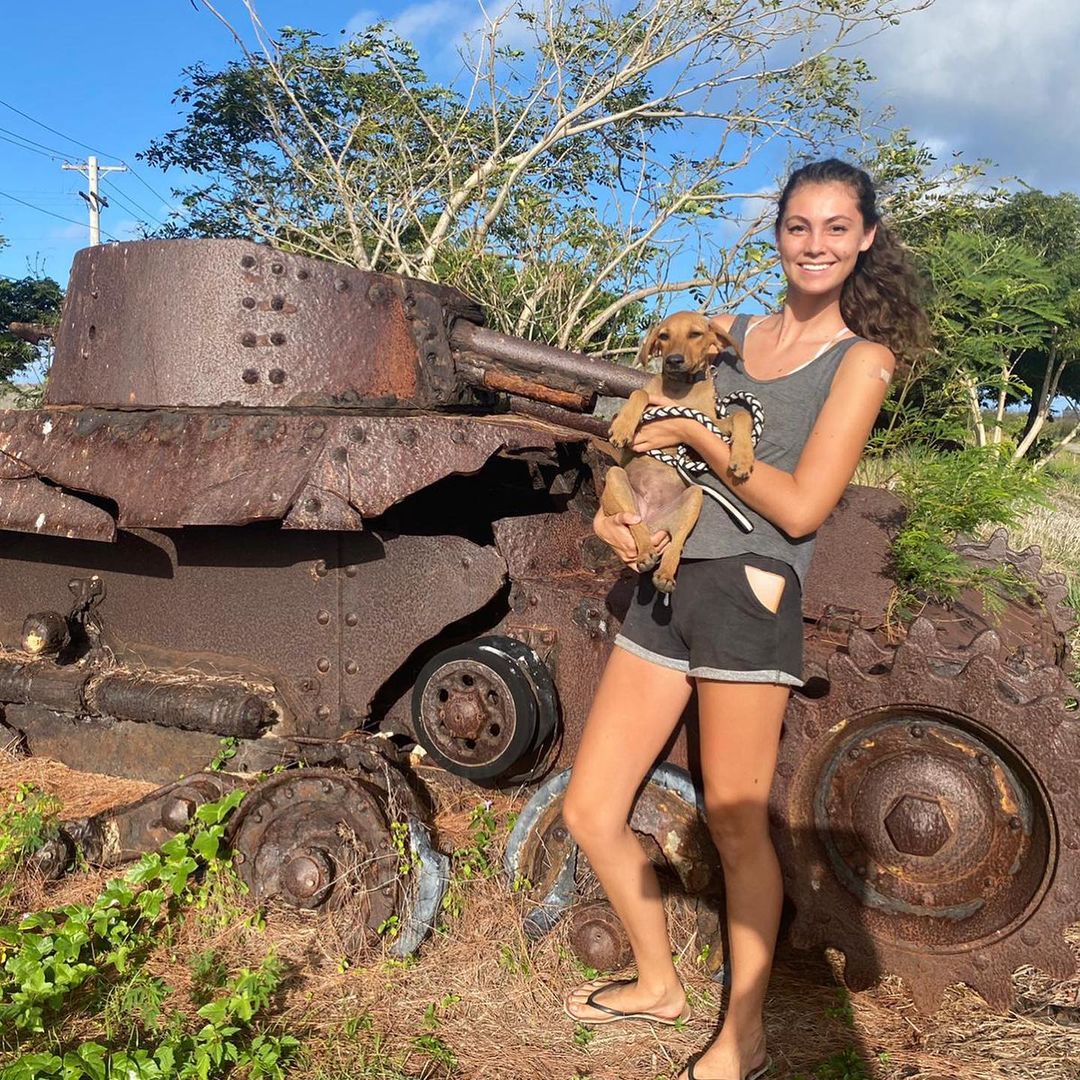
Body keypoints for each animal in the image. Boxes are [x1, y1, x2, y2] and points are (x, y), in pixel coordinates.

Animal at [604, 313, 756, 596]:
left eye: (695, 334)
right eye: (664, 336)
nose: (673, 360)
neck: (680, 390)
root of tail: (653, 520)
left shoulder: (710, 425)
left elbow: (743, 414)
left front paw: (742, 459)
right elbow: (640, 392)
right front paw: (623, 428)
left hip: (694, 496)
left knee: (676, 543)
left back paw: (664, 575)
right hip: (616, 477)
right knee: (635, 524)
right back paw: (645, 555)